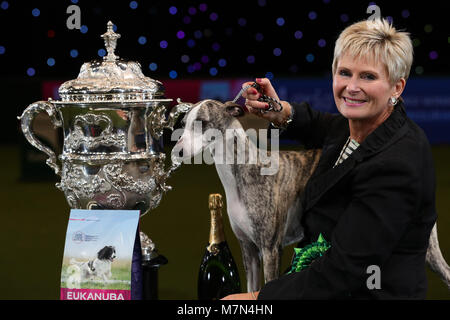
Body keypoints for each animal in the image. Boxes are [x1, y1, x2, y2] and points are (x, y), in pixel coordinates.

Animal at [174, 99, 450, 292]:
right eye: (183, 123)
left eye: (203, 122)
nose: (177, 152)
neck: (245, 169)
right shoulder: (248, 249)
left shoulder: (270, 249)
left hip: (429, 251)